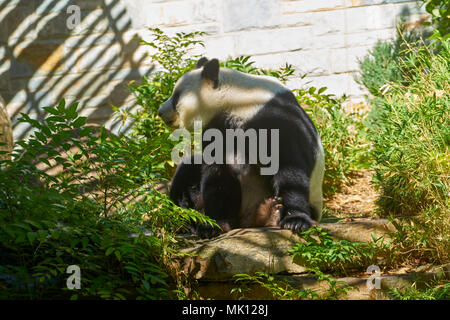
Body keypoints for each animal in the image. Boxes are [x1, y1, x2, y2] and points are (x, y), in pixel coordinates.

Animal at [158, 57, 324, 238]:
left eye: (176, 97)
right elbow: (217, 172)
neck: (236, 99)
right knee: (189, 170)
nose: (160, 111)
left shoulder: (274, 117)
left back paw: (271, 212)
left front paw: (295, 221)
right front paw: (215, 224)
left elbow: (289, 166)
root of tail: (250, 220)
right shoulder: (217, 129)